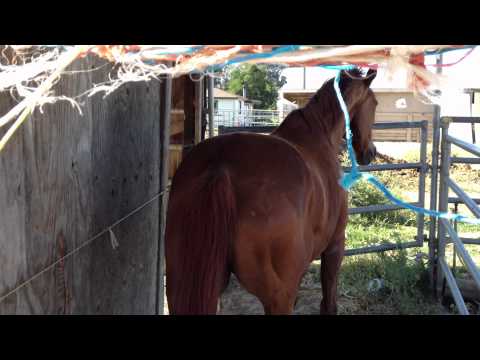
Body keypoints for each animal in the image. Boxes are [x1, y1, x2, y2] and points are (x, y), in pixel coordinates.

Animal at [165, 67, 378, 316]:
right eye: (374, 103)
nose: (370, 153)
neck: (320, 136)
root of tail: (220, 166)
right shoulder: (335, 247)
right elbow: (329, 302)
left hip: (181, 286)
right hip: (278, 297)